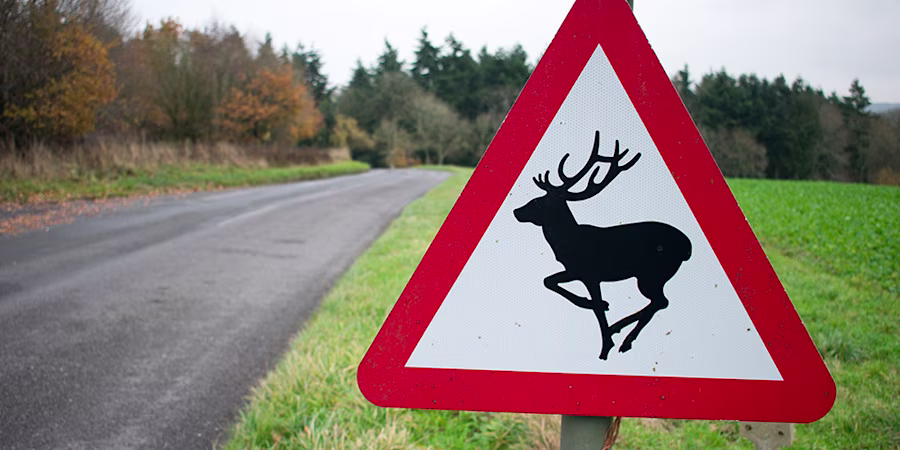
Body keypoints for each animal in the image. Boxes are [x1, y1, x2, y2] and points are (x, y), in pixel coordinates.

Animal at [513, 131, 692, 360]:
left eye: (540, 202)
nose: (517, 211)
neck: (567, 241)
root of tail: (687, 248)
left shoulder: (589, 273)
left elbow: (592, 305)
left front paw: (605, 345)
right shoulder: (576, 271)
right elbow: (549, 281)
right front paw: (603, 320)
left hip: (652, 274)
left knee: (661, 301)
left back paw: (621, 333)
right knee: (659, 302)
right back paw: (621, 334)